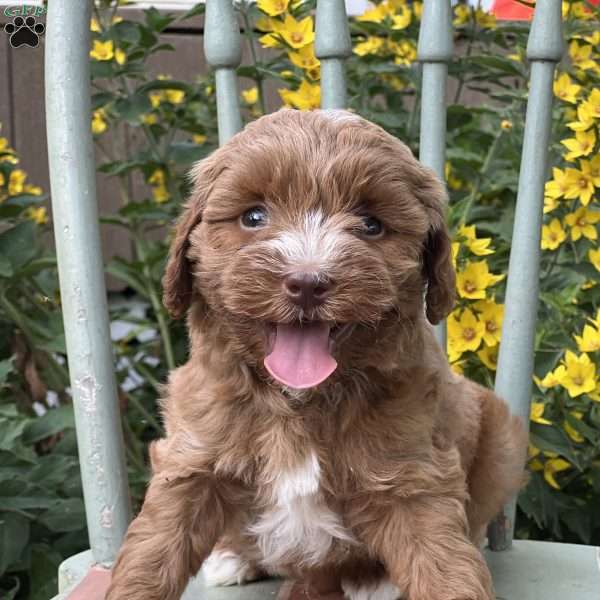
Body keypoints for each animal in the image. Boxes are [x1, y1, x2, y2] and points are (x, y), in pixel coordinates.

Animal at [105, 109, 528, 600]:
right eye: (254, 216)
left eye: (371, 225)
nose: (307, 282)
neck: (299, 399)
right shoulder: (192, 457)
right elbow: (155, 548)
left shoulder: (415, 474)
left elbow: (443, 561)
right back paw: (234, 557)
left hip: (502, 440)